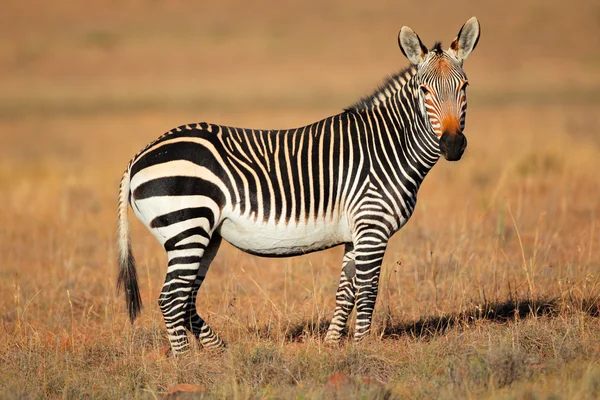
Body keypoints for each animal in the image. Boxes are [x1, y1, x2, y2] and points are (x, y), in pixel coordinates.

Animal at [117, 17, 482, 354]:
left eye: (464, 86)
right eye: (424, 91)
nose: (452, 145)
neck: (388, 147)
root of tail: (139, 156)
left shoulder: (355, 234)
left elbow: (345, 292)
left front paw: (333, 345)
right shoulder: (372, 226)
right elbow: (368, 290)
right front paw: (363, 349)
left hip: (204, 236)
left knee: (186, 298)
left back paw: (218, 351)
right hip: (186, 226)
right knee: (171, 299)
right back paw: (185, 362)